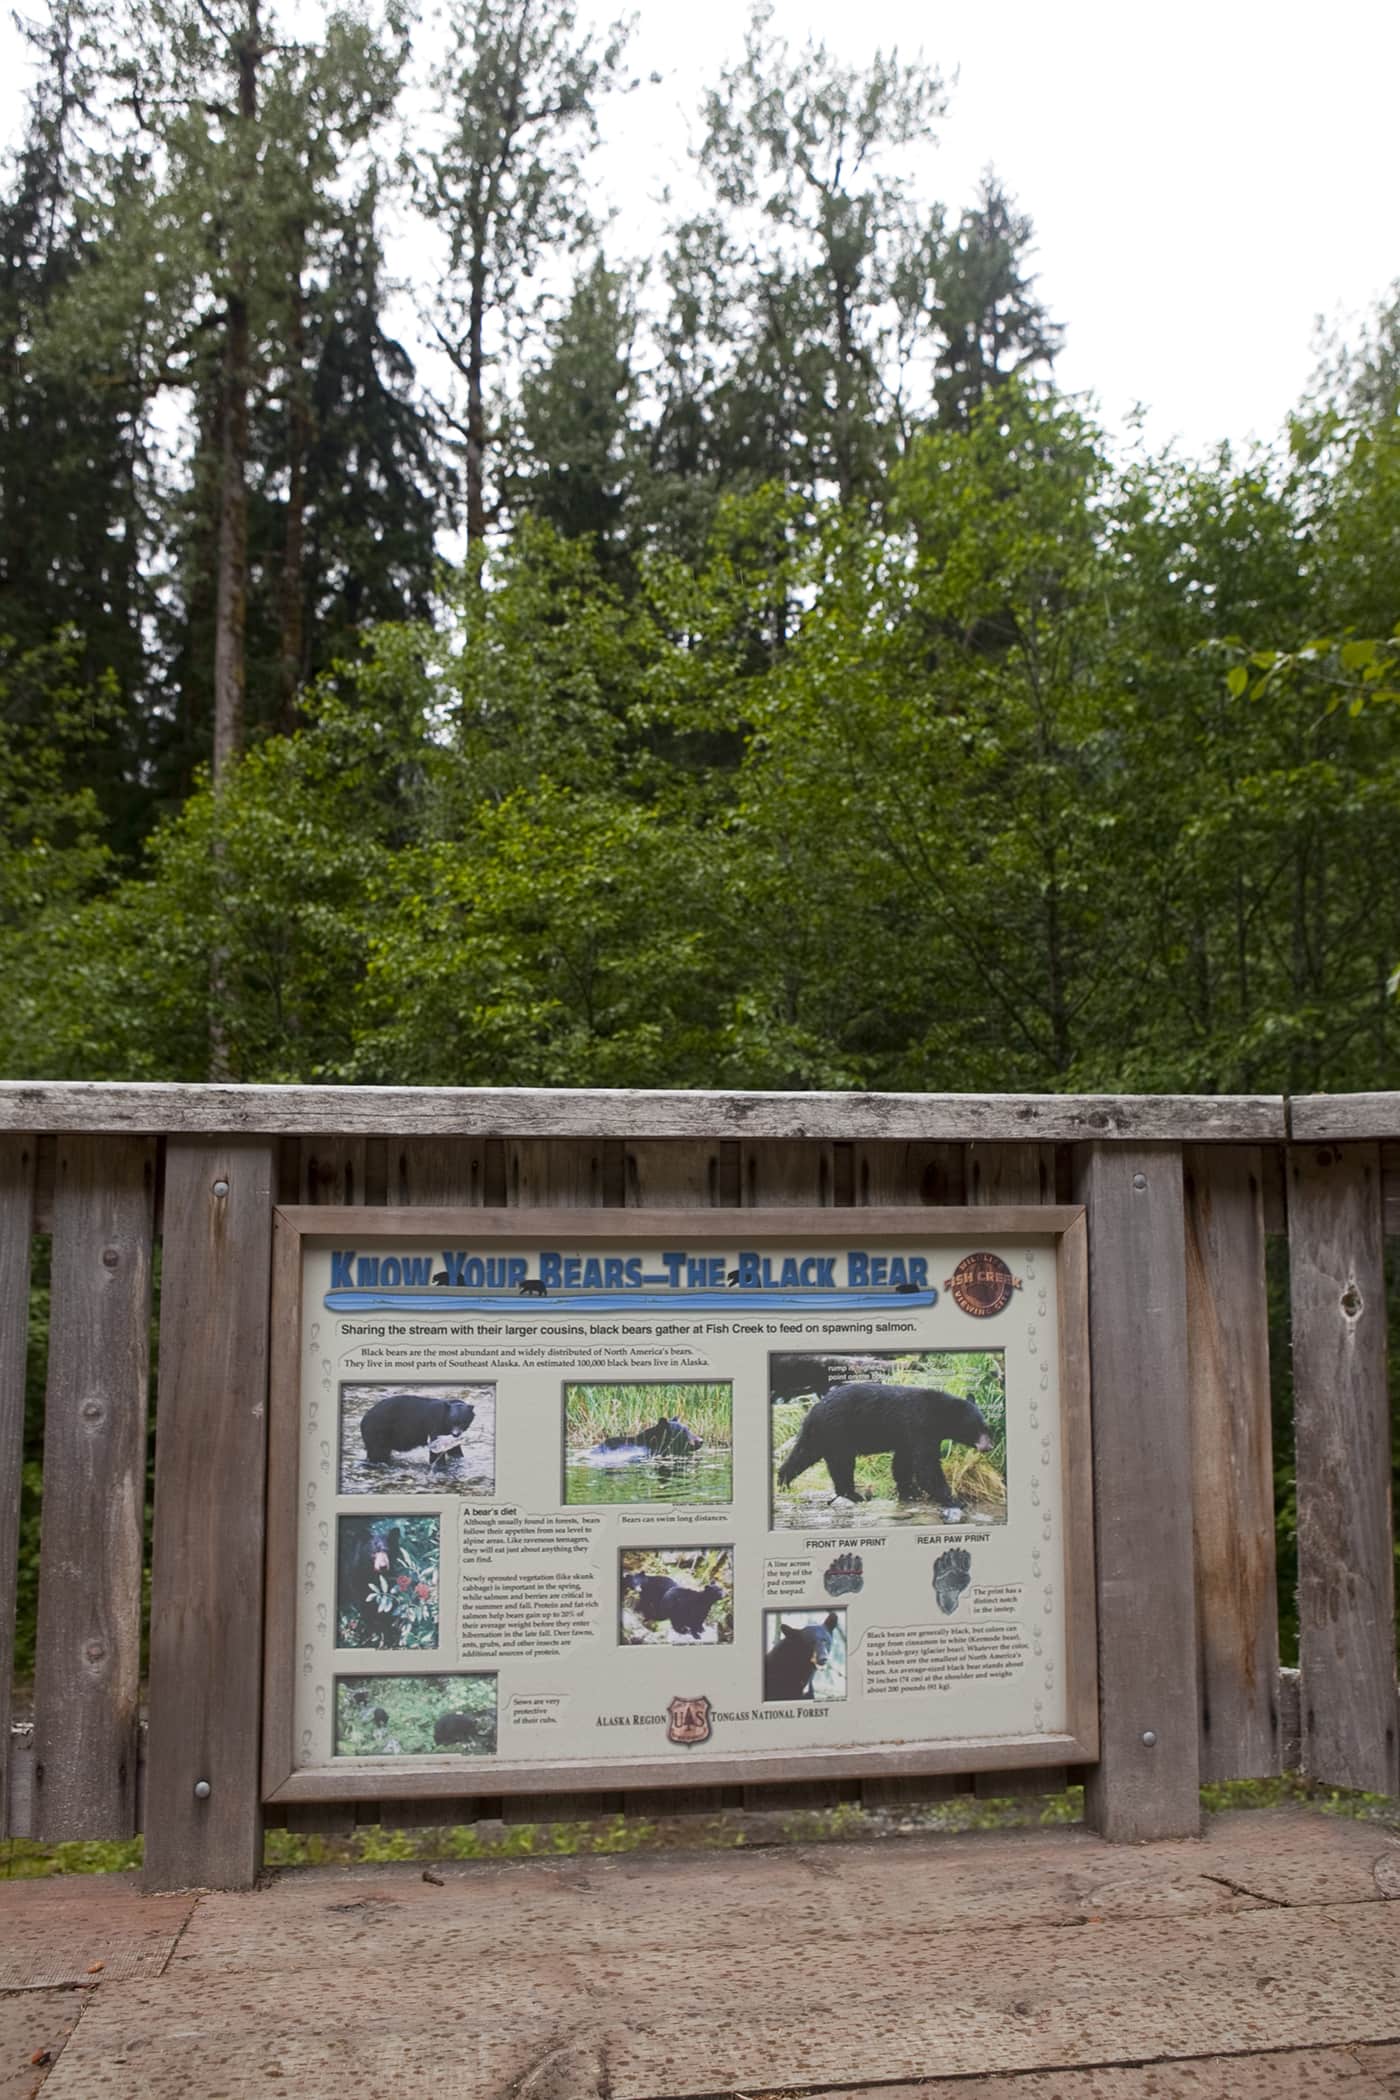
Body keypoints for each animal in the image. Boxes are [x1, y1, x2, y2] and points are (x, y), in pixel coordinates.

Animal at [776, 1377, 994, 1511]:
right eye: (977, 1428)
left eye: (986, 1427)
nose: (989, 1446)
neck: (937, 1414)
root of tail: (813, 1410)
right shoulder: (919, 1427)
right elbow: (927, 1467)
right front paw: (955, 1500)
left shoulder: (907, 1437)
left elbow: (903, 1463)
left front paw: (909, 1492)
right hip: (838, 1432)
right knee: (842, 1463)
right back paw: (853, 1494)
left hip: (818, 1434)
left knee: (802, 1454)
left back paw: (783, 1481)